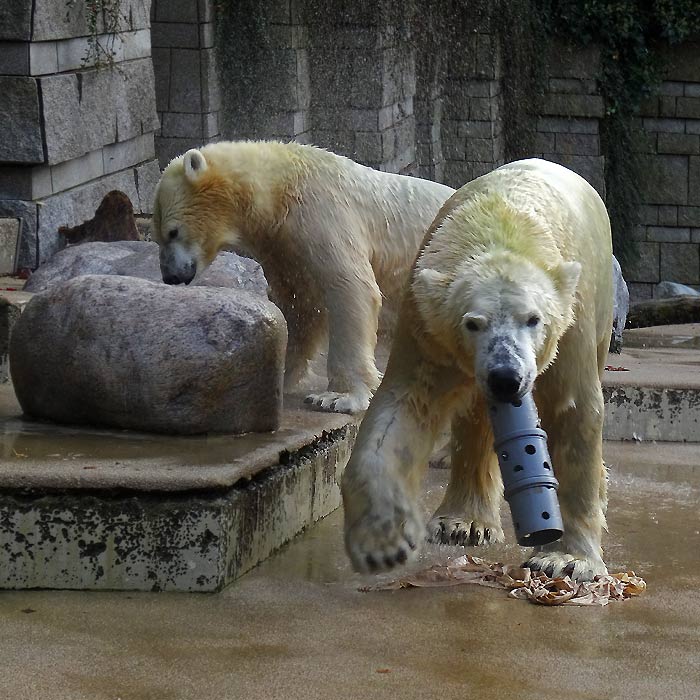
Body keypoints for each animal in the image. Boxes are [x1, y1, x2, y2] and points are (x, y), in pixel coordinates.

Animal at [151, 143, 454, 416]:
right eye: (158, 235)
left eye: (173, 232)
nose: (171, 276)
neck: (280, 185)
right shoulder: (282, 244)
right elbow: (301, 306)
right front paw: (278, 373)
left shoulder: (322, 211)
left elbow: (350, 286)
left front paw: (337, 398)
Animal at [344, 161, 612, 584]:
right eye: (472, 323)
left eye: (533, 319)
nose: (506, 376)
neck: (500, 222)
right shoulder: (428, 324)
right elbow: (404, 405)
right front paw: (383, 541)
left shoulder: (571, 323)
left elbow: (573, 410)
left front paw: (566, 560)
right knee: (472, 416)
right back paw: (462, 523)